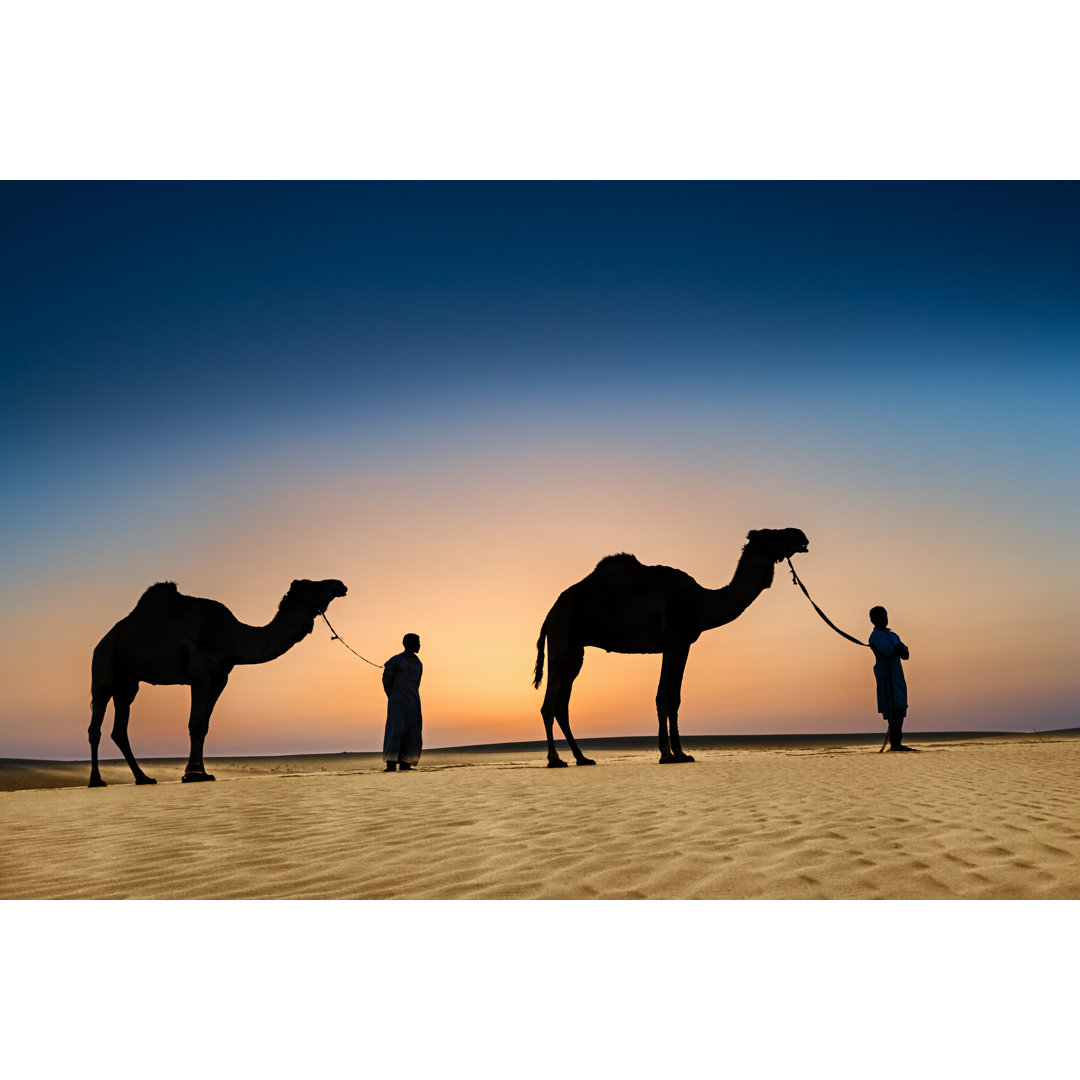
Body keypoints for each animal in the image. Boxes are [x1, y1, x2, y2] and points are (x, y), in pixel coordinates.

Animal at [91, 583, 349, 786]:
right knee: (96, 722)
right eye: (310, 585)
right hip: (104, 663)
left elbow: (205, 725)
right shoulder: (200, 674)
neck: (233, 636)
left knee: (119, 727)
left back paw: (143, 777)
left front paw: (203, 772)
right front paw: (192, 774)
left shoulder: (220, 678)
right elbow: (195, 723)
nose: (339, 585)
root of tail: (104, 638)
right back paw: (97, 780)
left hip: (128, 683)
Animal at [535, 527, 807, 764]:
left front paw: (681, 753)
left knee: (562, 705)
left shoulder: (683, 644)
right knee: (549, 704)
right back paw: (555, 759)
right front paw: (667, 753)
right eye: (773, 534)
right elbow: (664, 695)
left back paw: (582, 758)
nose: (801, 535)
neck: (702, 602)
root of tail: (550, 614)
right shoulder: (674, 640)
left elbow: (674, 697)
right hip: (561, 637)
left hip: (576, 651)